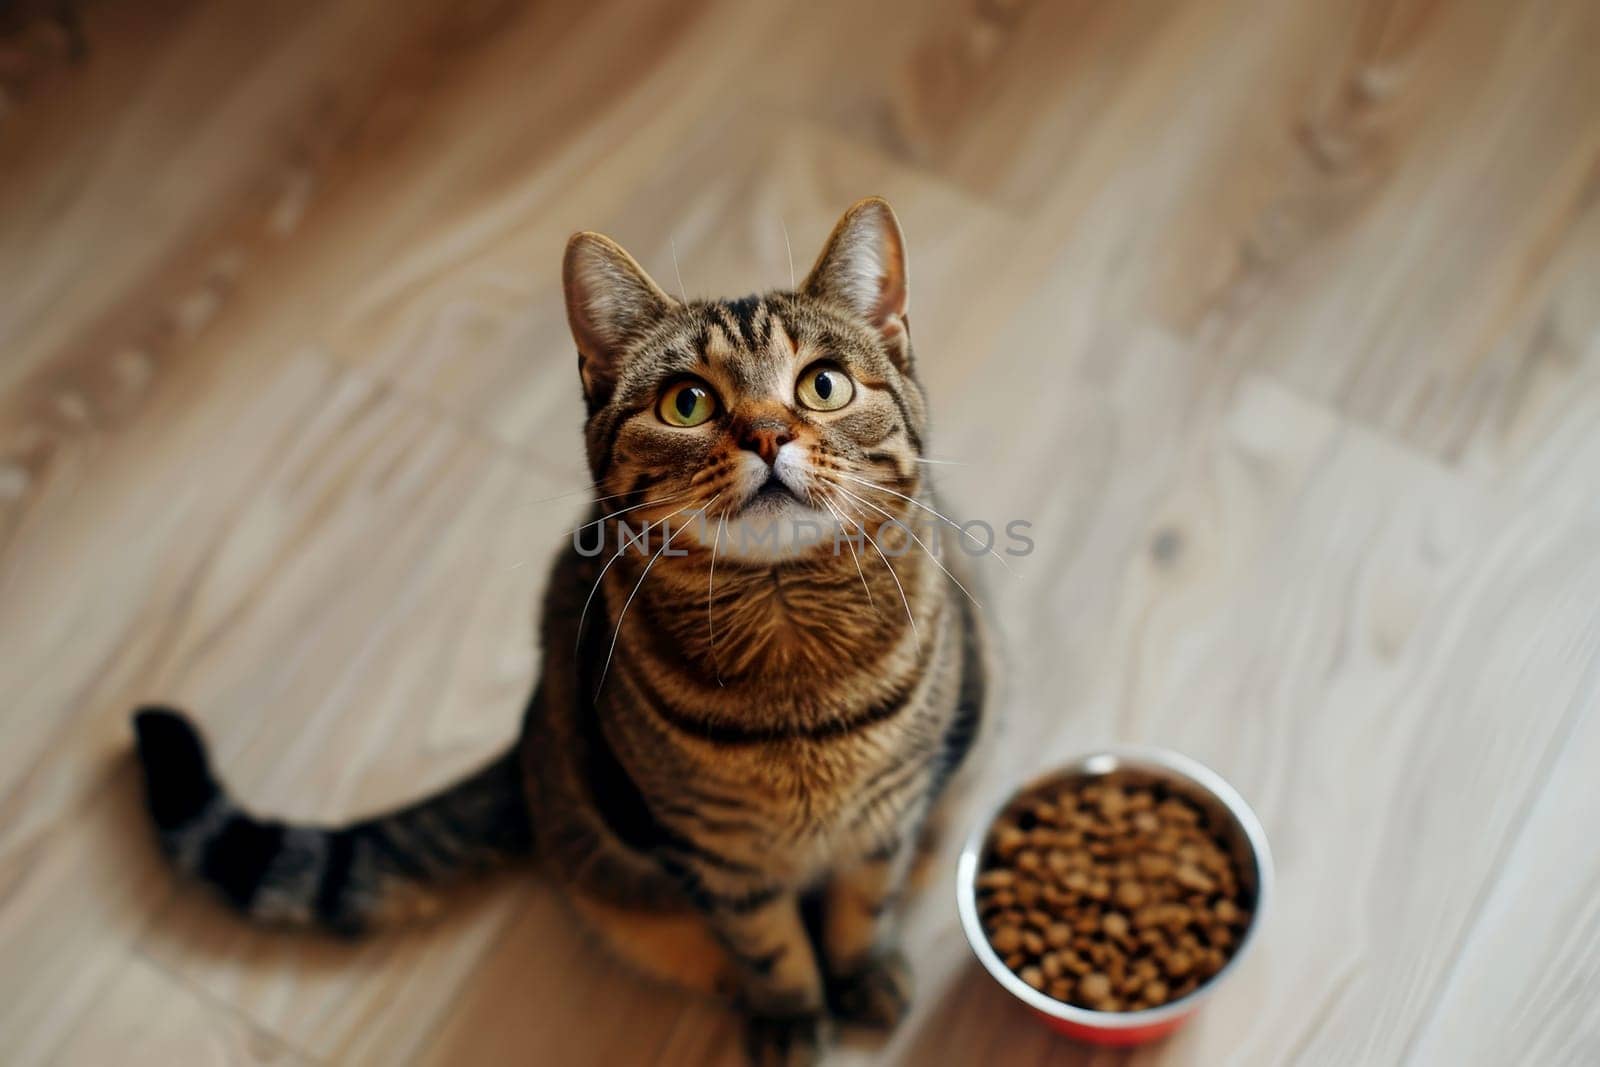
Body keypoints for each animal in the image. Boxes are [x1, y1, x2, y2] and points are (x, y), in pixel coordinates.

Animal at [134, 199, 985, 1067]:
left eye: (824, 384)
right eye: (687, 403)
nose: (767, 434)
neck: (792, 654)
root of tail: (528, 731)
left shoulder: (887, 818)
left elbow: (862, 907)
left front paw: (862, 975)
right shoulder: (712, 853)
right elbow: (769, 945)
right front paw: (791, 1016)